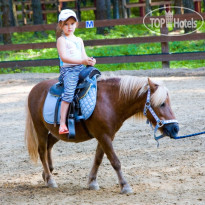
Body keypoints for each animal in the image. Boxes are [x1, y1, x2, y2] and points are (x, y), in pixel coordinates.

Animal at [24, 75, 179, 194]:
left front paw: (92, 182)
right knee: (42, 151)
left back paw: (47, 174)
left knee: (48, 146)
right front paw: (125, 186)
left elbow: (98, 159)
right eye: (162, 104)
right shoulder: (104, 136)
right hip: (40, 128)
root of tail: (35, 89)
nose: (175, 128)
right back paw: (50, 179)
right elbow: (115, 161)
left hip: (57, 133)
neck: (110, 101)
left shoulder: (106, 136)